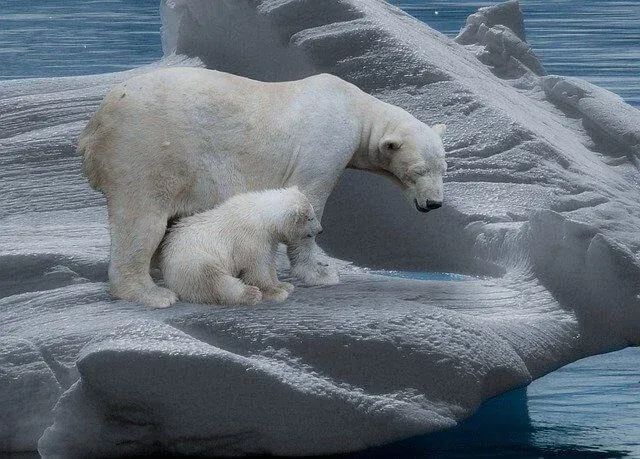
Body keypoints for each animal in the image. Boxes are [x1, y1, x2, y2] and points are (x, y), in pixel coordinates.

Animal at [159, 187, 321, 306]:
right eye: (310, 218)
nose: (320, 230)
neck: (262, 216)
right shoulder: (250, 239)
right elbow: (257, 268)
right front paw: (275, 293)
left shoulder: (268, 240)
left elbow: (269, 262)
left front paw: (284, 285)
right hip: (193, 259)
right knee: (214, 280)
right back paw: (251, 293)